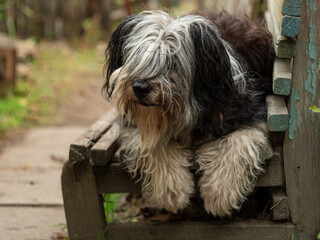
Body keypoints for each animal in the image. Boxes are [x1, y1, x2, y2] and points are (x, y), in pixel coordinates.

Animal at [103, 10, 276, 218]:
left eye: (172, 62)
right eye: (138, 57)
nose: (139, 88)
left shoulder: (252, 116)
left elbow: (238, 142)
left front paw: (219, 194)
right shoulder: (135, 125)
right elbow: (154, 144)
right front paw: (173, 192)